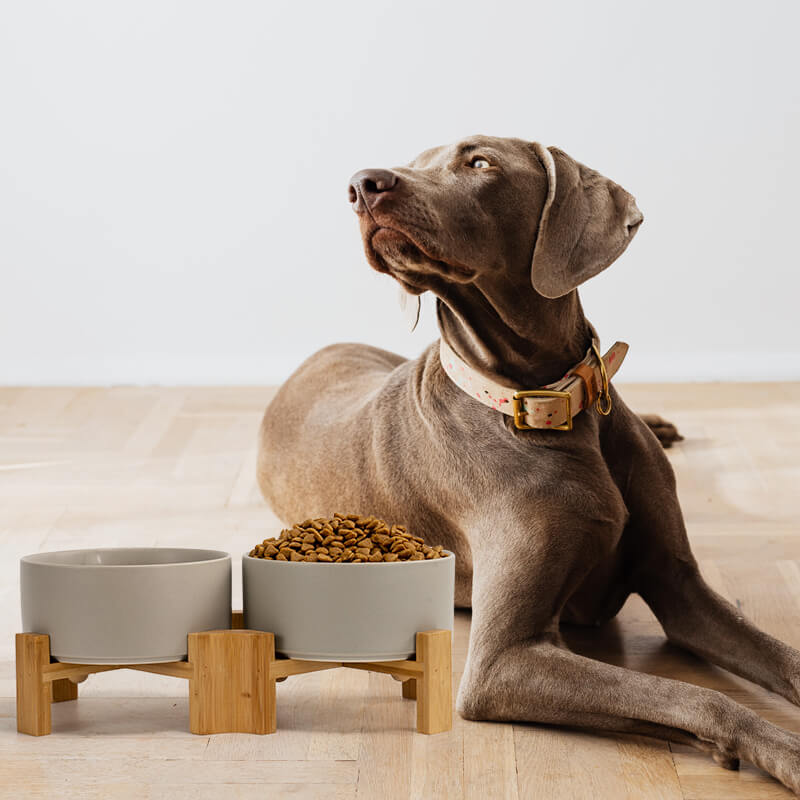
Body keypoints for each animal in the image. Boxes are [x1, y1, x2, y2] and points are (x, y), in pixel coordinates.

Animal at [256, 134, 800, 792]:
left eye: (479, 162)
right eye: (415, 160)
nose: (362, 184)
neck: (552, 402)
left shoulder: (681, 587)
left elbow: (783, 658)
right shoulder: (502, 662)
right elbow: (697, 696)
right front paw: (787, 751)